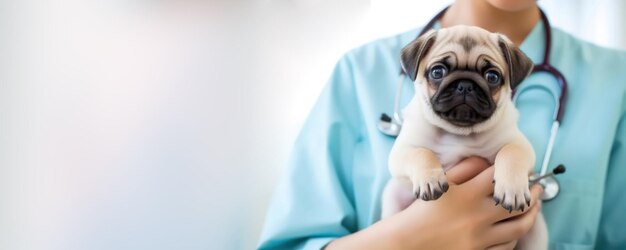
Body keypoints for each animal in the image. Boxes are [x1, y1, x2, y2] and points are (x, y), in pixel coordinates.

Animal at [378, 25, 544, 250]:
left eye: (492, 77)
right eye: (437, 72)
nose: (465, 84)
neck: (459, 132)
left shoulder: (520, 145)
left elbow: (511, 152)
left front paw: (512, 188)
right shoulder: (401, 151)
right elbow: (421, 153)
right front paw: (431, 179)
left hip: (537, 233)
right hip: (393, 195)